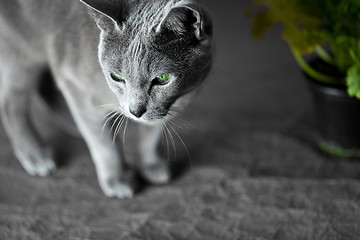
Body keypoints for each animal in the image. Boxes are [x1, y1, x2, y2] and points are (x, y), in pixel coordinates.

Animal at [0, 0, 212, 198]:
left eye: (163, 79)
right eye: (116, 77)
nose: (136, 111)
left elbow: (151, 135)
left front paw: (151, 166)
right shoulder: (76, 86)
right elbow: (104, 145)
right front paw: (117, 180)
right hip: (20, 56)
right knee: (11, 105)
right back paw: (36, 155)